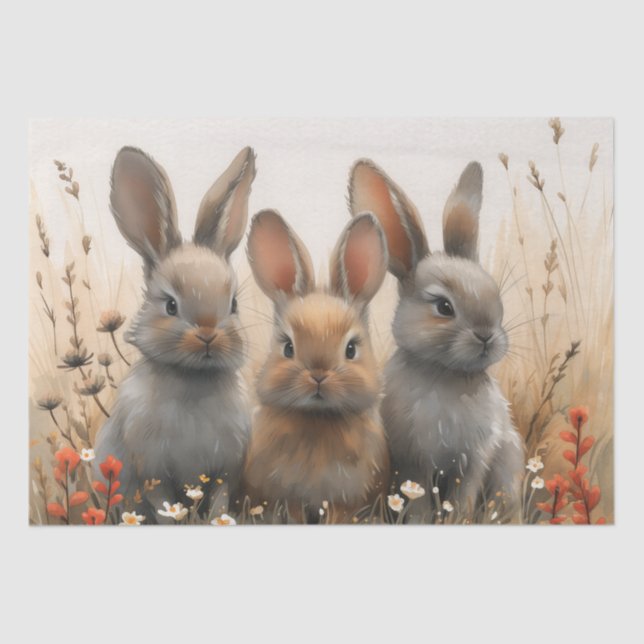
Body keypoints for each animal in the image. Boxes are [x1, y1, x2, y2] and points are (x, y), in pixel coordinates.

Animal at [94, 146, 256, 523]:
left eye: (233, 303)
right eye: (170, 305)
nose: (209, 336)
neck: (193, 378)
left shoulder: (225, 471)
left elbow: (219, 502)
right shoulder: (151, 471)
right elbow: (165, 506)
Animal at [242, 209, 391, 524]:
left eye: (351, 349)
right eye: (288, 347)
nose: (319, 376)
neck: (318, 420)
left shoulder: (345, 502)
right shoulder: (287, 499)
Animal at [348, 159, 524, 523]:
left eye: (495, 295)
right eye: (444, 307)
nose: (487, 336)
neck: (447, 374)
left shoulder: (473, 460)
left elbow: (462, 497)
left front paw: (458, 520)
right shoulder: (413, 461)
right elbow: (419, 502)